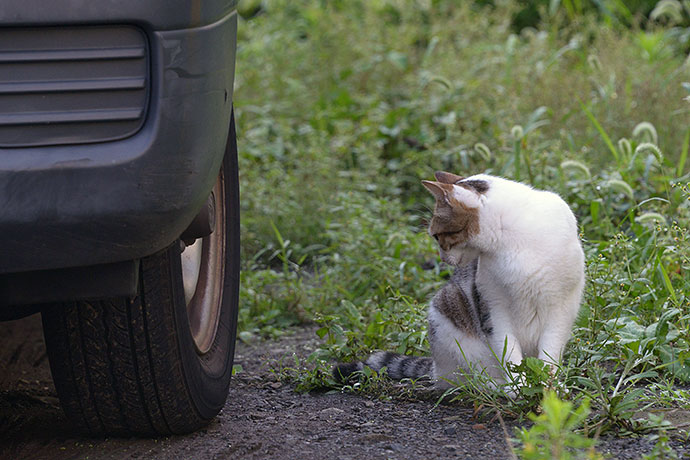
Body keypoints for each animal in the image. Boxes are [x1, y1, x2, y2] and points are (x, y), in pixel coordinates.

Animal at [330, 171, 584, 390]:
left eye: (437, 236)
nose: (442, 258)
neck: (510, 239)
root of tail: (435, 367)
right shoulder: (494, 308)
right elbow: (510, 354)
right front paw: (518, 388)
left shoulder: (561, 309)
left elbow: (549, 356)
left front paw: (549, 388)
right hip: (446, 315)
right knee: (463, 379)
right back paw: (493, 387)